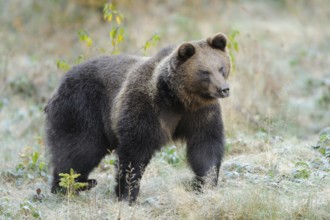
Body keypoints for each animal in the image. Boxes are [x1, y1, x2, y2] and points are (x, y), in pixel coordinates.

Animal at [44, 32, 232, 203]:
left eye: (221, 68)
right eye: (205, 72)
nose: (224, 89)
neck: (177, 99)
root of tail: (58, 86)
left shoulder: (200, 113)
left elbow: (205, 146)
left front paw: (206, 183)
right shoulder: (146, 108)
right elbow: (134, 152)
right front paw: (126, 194)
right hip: (81, 109)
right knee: (79, 149)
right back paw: (67, 186)